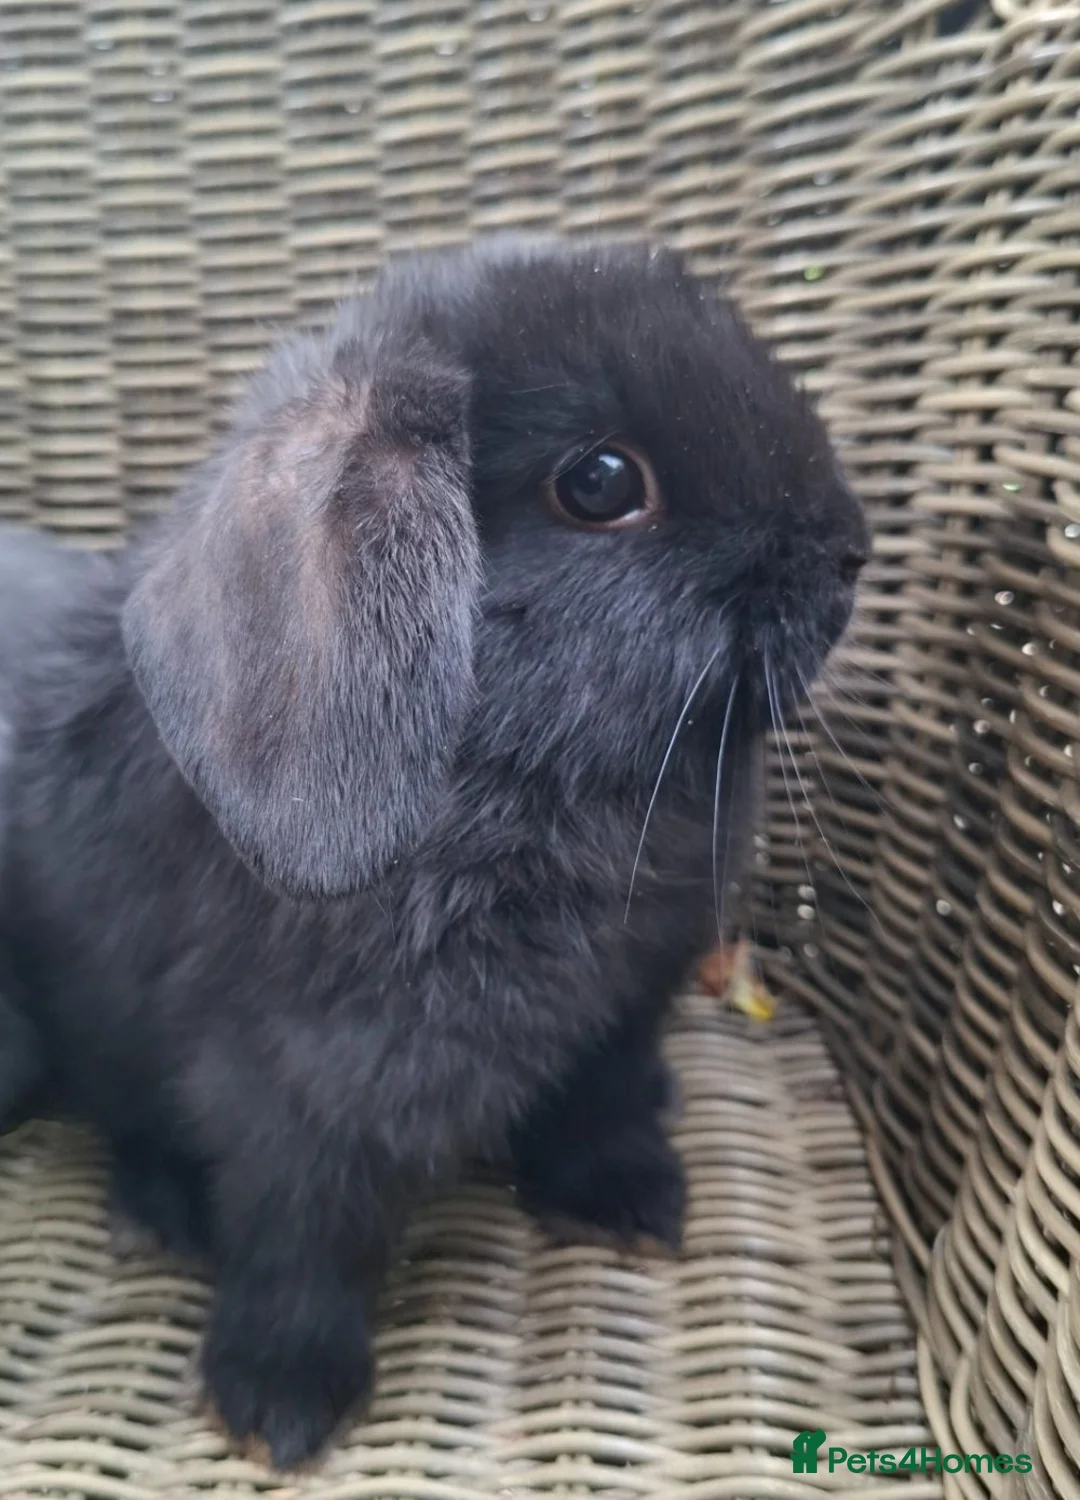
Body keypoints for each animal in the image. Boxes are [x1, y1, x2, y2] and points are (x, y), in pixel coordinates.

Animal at [0, 240, 867, 1468]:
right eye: (601, 483)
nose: (849, 550)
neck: (534, 781)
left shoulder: (621, 1006)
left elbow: (601, 1101)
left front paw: (632, 1207)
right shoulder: (306, 1085)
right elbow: (301, 1237)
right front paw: (279, 1403)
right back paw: (162, 1216)